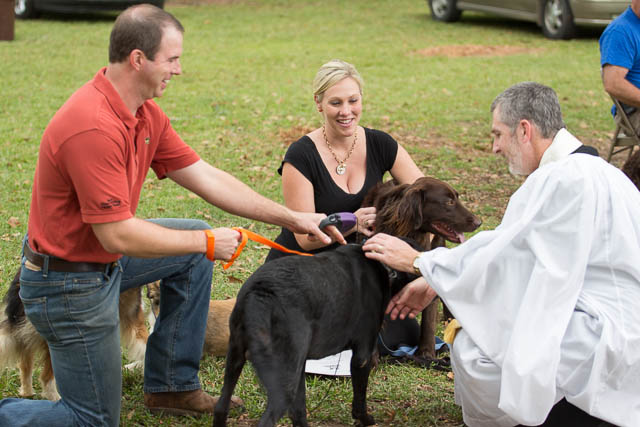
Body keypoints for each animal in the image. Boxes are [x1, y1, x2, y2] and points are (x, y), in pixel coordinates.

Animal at [212, 242, 422, 426]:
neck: (383, 266)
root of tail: (260, 293)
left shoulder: (301, 365)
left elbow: (299, 411)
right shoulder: (363, 356)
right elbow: (360, 399)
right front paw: (365, 419)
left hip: (237, 359)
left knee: (221, 407)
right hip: (282, 381)